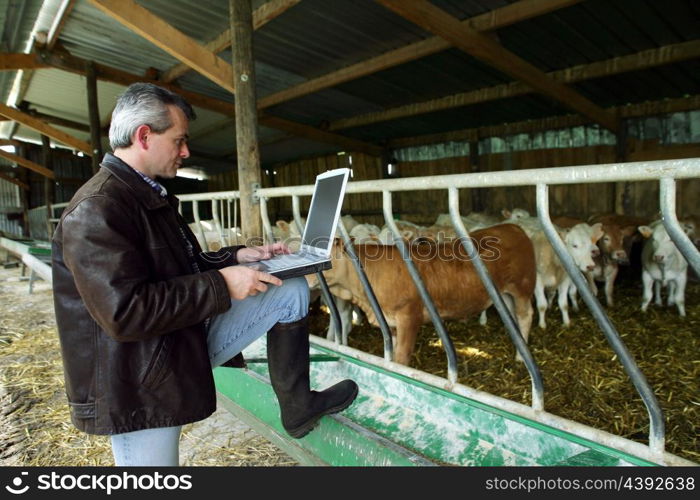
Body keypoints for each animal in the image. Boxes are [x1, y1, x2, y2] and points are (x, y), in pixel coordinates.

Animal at [316, 225, 536, 366]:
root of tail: (513, 227)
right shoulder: (390, 322)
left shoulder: (409, 317)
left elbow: (402, 358)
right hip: (504, 293)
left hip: (522, 286)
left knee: (526, 315)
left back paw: (520, 357)